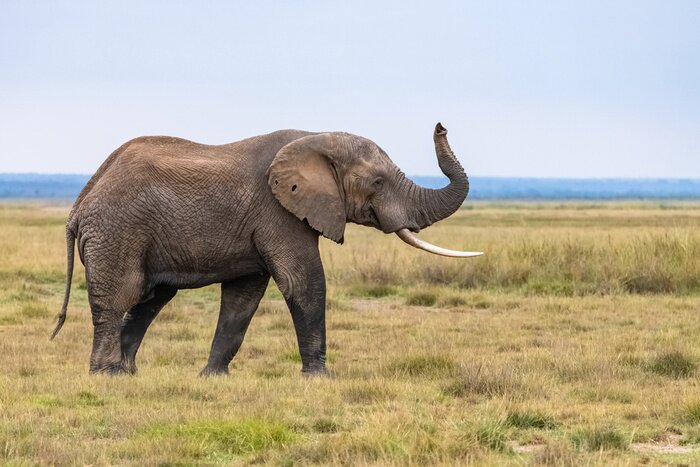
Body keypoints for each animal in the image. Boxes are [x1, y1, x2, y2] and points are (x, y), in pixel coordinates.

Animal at [50, 122, 481, 376]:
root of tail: (79, 203)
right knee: (120, 297)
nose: (441, 125)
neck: (315, 138)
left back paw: (128, 374)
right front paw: (319, 379)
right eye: (377, 182)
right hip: (117, 233)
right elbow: (303, 282)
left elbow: (243, 298)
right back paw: (105, 375)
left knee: (151, 299)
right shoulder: (279, 212)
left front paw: (212, 378)